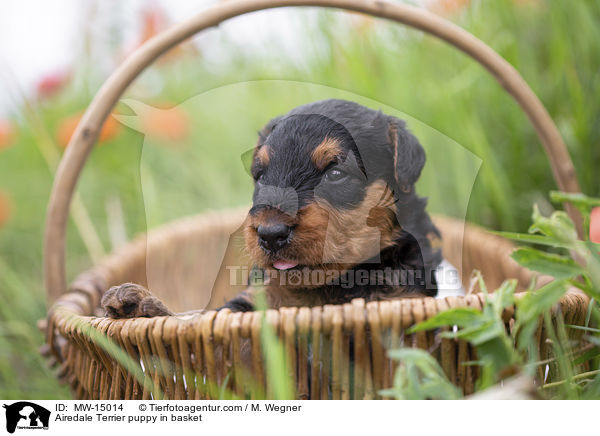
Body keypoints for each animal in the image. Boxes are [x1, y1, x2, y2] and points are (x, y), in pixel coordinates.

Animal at [101, 99, 462, 318]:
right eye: (261, 175)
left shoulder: (401, 296)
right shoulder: (251, 303)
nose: (270, 234)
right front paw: (137, 304)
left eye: (335, 173)